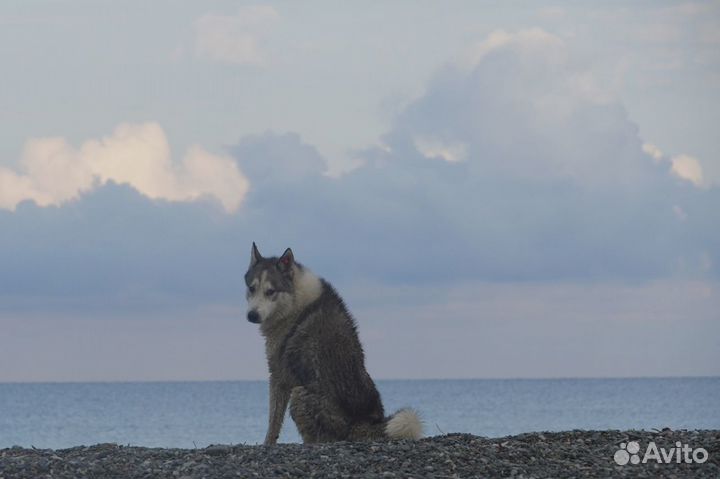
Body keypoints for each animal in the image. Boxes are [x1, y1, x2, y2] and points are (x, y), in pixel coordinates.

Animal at [246, 244, 422, 446]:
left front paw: (267, 443)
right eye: (251, 288)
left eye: (270, 291)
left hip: (299, 395)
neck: (295, 301)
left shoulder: (279, 376)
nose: (252, 315)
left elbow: (273, 422)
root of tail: (360, 424)